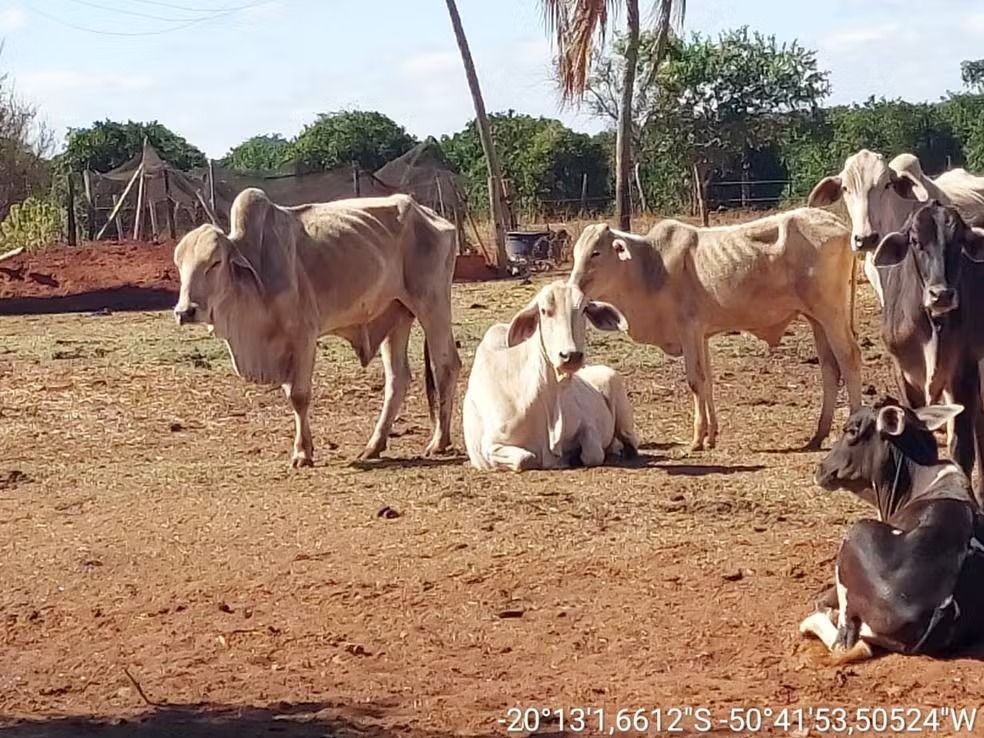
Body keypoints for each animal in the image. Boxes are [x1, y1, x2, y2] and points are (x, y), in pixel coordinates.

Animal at [464, 278, 640, 468]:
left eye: (584, 309)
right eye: (543, 311)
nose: (571, 355)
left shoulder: (587, 424)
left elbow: (593, 454)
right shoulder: (490, 447)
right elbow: (525, 458)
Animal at [568, 207, 860, 448]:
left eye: (596, 252)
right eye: (576, 254)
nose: (573, 287)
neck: (651, 268)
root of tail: (840, 225)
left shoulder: (689, 330)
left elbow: (695, 381)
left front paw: (698, 438)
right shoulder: (702, 336)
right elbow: (707, 381)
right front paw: (711, 436)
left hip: (831, 314)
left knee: (849, 358)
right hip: (817, 320)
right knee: (829, 368)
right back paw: (818, 435)